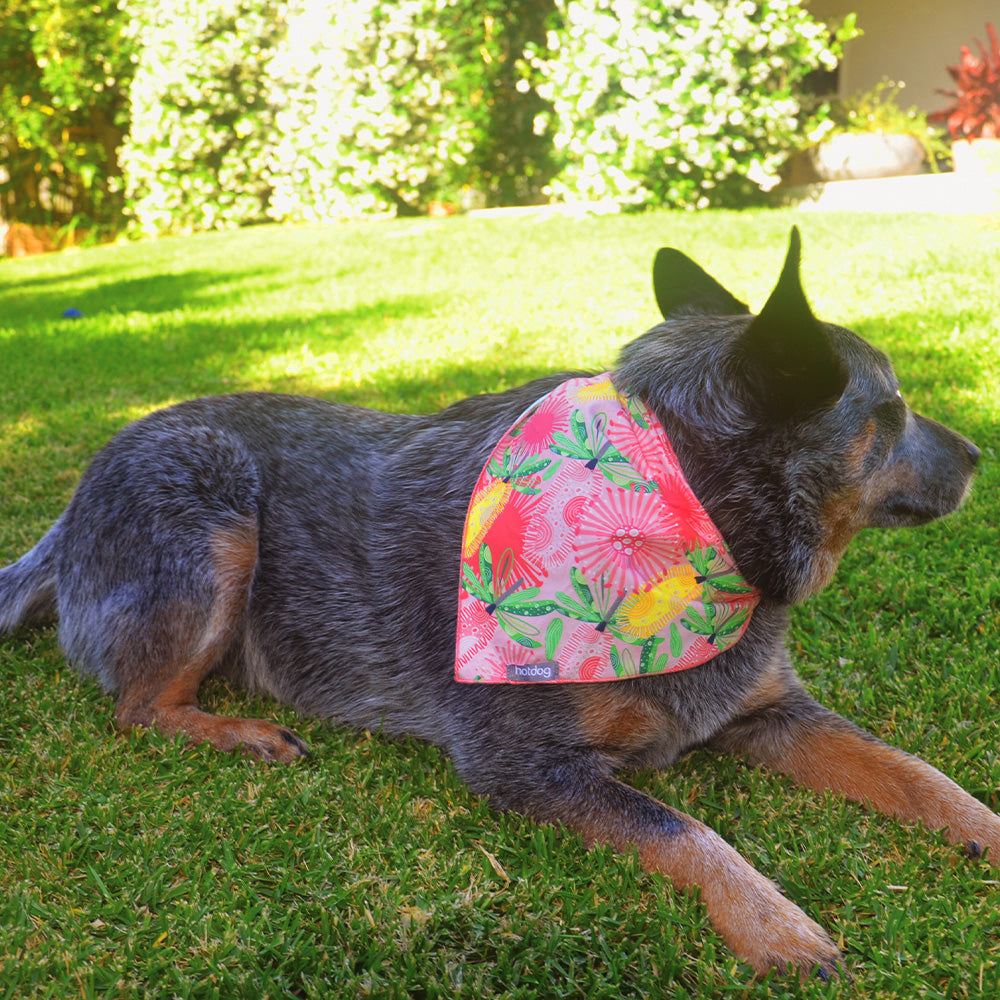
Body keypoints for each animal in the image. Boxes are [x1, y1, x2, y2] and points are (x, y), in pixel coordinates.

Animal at [0, 229, 996, 976]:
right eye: (891, 414)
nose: (978, 454)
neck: (691, 520)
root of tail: (68, 509)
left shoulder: (772, 710)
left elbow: (916, 774)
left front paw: (983, 828)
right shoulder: (521, 764)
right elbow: (684, 830)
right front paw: (774, 924)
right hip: (215, 506)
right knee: (137, 708)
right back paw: (239, 733)